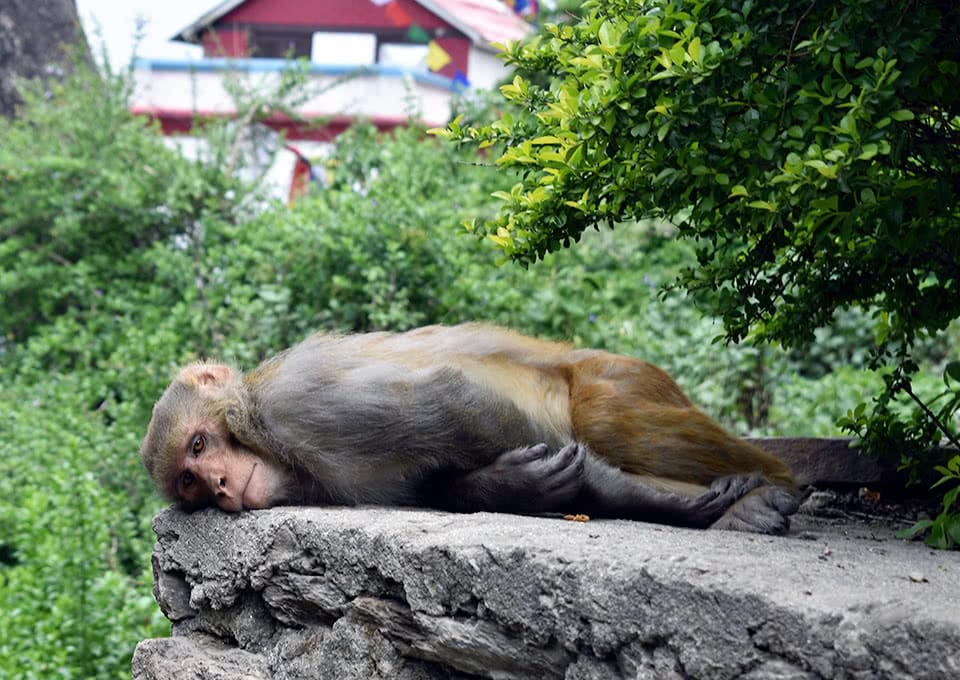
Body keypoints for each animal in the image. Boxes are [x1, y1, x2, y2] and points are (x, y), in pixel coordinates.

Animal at [141, 322, 804, 532]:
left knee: (608, 417)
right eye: (190, 483)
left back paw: (767, 487)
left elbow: (451, 401)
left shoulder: (303, 404)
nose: (219, 484)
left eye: (200, 443)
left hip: (621, 375)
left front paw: (624, 495)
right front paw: (514, 487)